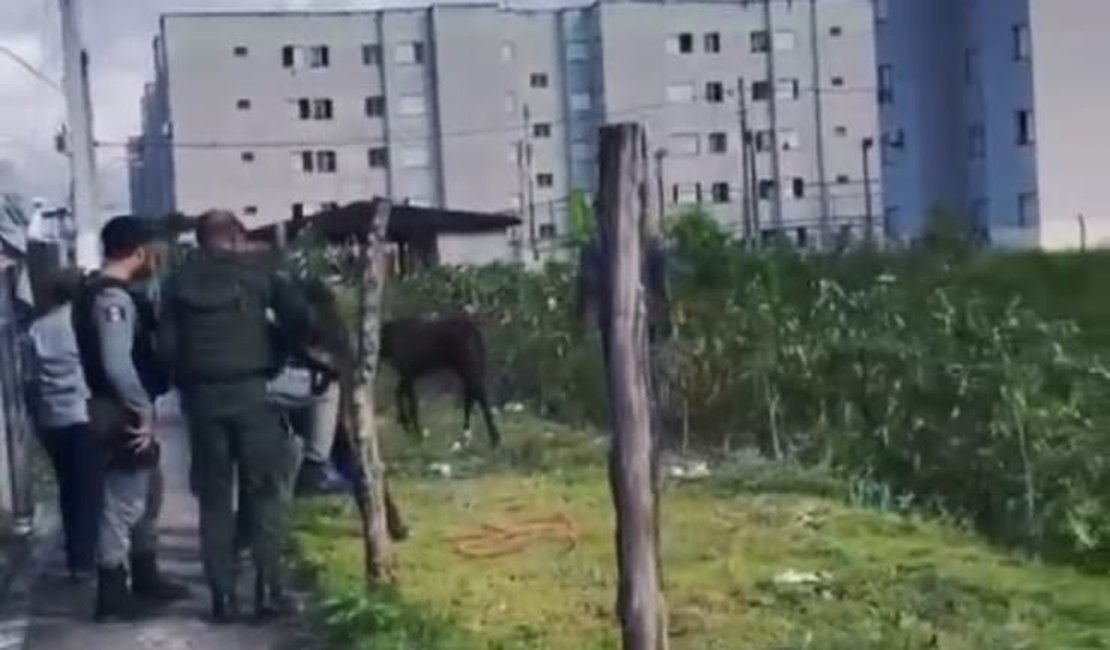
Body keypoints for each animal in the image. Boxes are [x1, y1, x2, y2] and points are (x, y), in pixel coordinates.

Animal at [381, 312, 503, 445]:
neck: (389, 340)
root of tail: (474, 331)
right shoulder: (408, 375)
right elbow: (398, 394)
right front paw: (404, 422)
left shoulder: (407, 374)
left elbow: (412, 404)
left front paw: (417, 434)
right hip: (464, 370)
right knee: (471, 396)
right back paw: (468, 432)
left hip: (469, 367)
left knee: (480, 397)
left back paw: (493, 437)